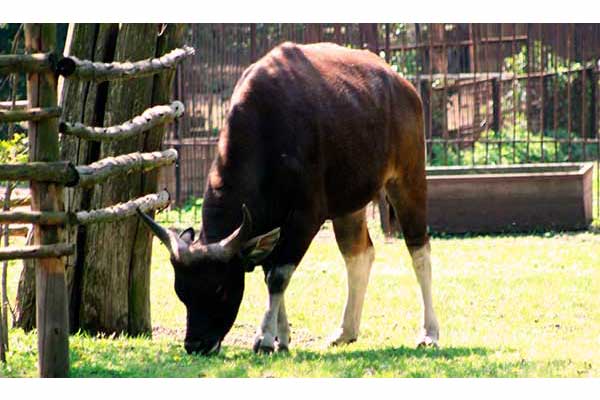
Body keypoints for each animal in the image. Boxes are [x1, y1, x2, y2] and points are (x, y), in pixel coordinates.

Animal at [138, 42, 438, 354]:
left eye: (220, 289)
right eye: (180, 291)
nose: (196, 344)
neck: (266, 129)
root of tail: (403, 86)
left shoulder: (306, 216)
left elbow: (278, 275)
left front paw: (264, 338)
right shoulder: (267, 221)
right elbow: (270, 273)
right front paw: (280, 338)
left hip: (408, 177)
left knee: (419, 250)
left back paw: (429, 333)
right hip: (349, 204)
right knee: (359, 254)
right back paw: (346, 331)